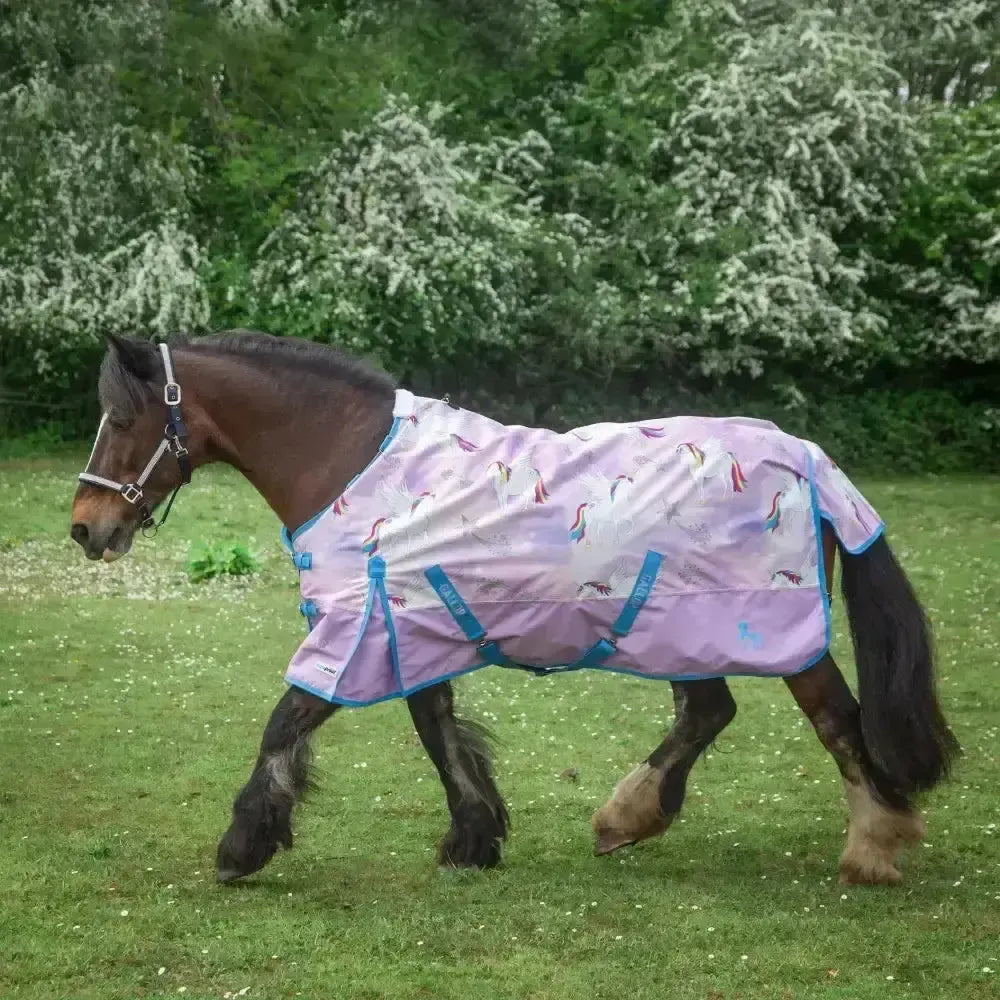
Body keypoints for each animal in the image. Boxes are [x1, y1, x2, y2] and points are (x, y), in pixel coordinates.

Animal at [69, 331, 958, 887]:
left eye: (121, 418)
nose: (85, 527)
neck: (352, 463)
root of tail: (804, 456)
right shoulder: (410, 627)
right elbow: (437, 732)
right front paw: (474, 837)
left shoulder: (356, 632)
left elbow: (285, 722)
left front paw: (243, 845)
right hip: (680, 628)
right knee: (710, 711)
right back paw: (626, 817)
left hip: (769, 632)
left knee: (837, 719)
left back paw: (873, 847)